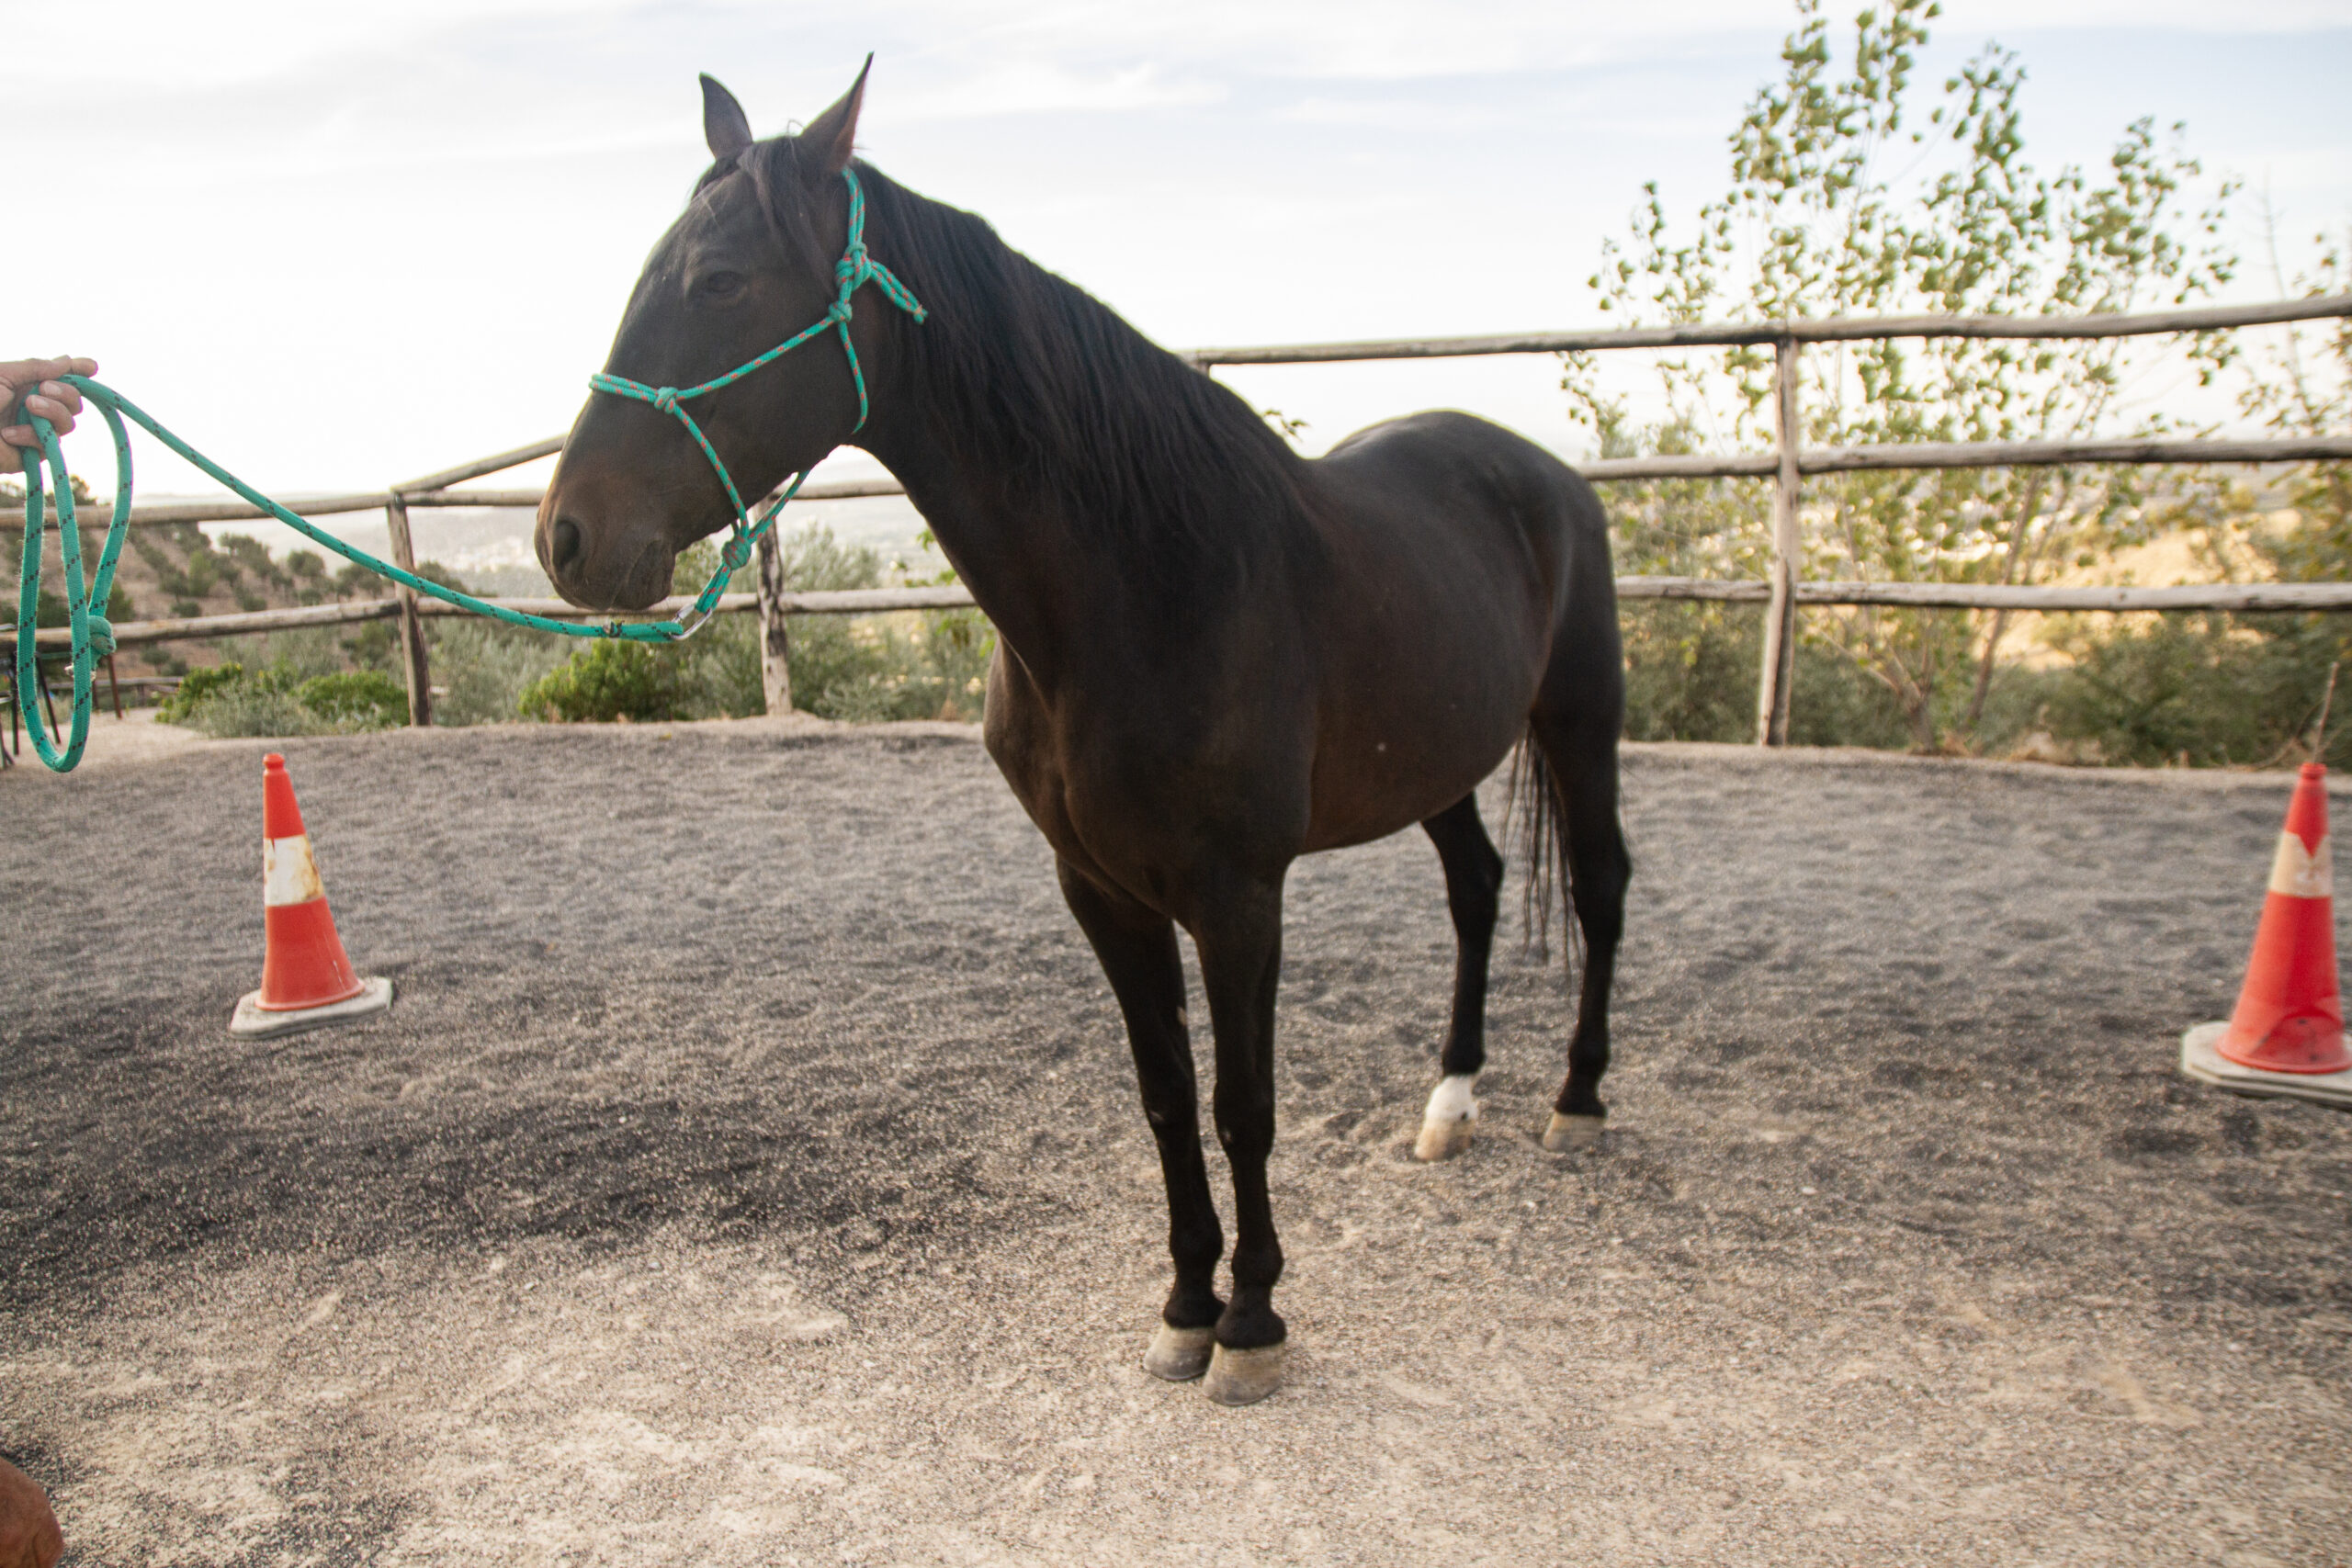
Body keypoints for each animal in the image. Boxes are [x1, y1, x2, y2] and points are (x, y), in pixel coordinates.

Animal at [538, 67, 1627, 1401]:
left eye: (721, 282)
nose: (567, 537)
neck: (1147, 583)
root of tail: (1545, 474)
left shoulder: (1237, 893)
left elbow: (1243, 1101)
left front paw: (1252, 1321)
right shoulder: (1100, 888)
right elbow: (1164, 1096)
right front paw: (1184, 1306)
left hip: (1579, 723)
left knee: (1600, 886)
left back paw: (1577, 1098)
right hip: (1437, 761)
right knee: (1476, 888)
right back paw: (1450, 1104)